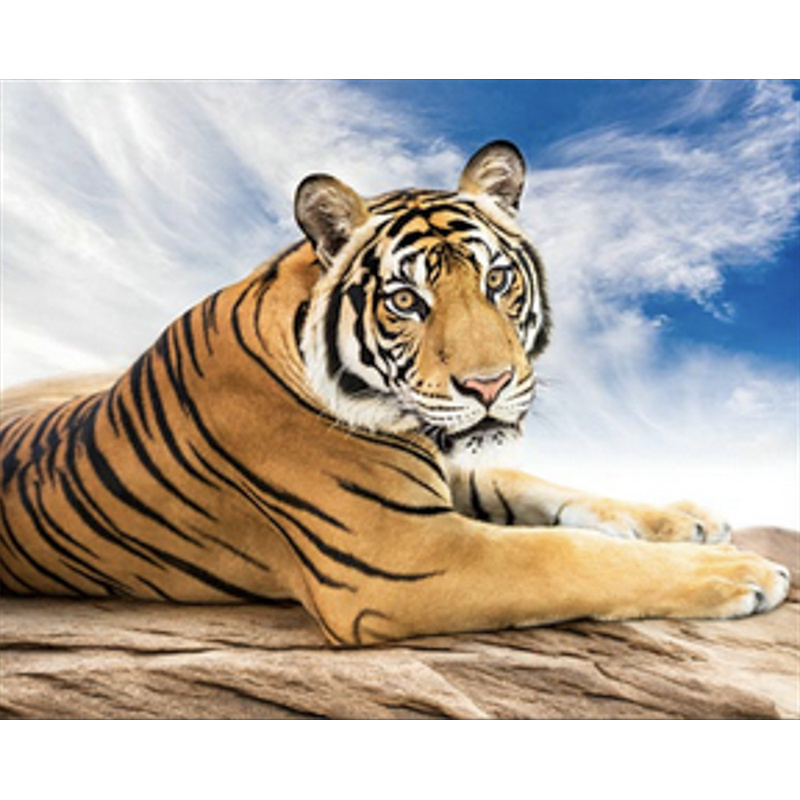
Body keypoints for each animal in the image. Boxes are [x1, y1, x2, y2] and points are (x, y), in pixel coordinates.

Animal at [0, 141, 790, 646]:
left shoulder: (443, 473)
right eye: (407, 301)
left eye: (497, 279)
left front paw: (686, 520)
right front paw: (744, 570)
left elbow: (540, 489)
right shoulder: (404, 554)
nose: (489, 385)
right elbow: (570, 556)